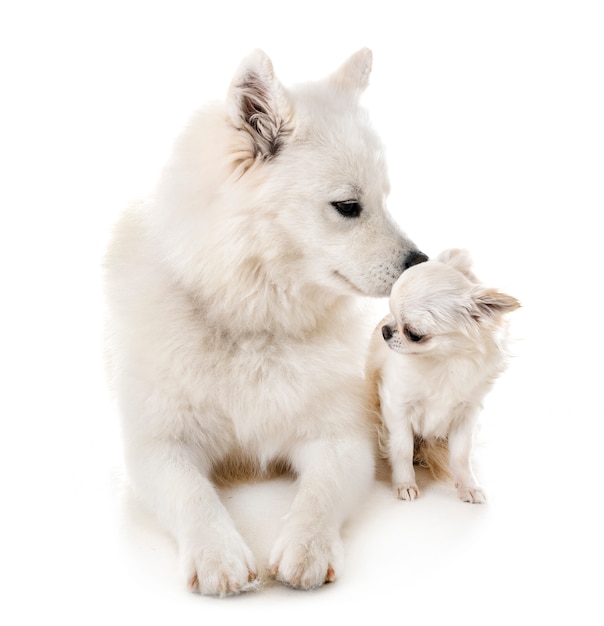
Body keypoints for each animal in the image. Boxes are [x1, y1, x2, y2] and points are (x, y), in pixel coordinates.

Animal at [102, 47, 424, 596]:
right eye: (348, 207)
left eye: (386, 198)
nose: (420, 263)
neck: (252, 321)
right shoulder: (156, 446)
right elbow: (192, 493)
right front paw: (217, 554)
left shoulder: (343, 438)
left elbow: (319, 493)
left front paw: (307, 547)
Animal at [368, 249, 520, 502]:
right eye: (389, 313)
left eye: (413, 334)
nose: (385, 331)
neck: (445, 361)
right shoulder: (397, 406)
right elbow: (402, 448)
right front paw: (405, 483)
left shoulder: (466, 414)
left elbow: (461, 454)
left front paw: (468, 486)